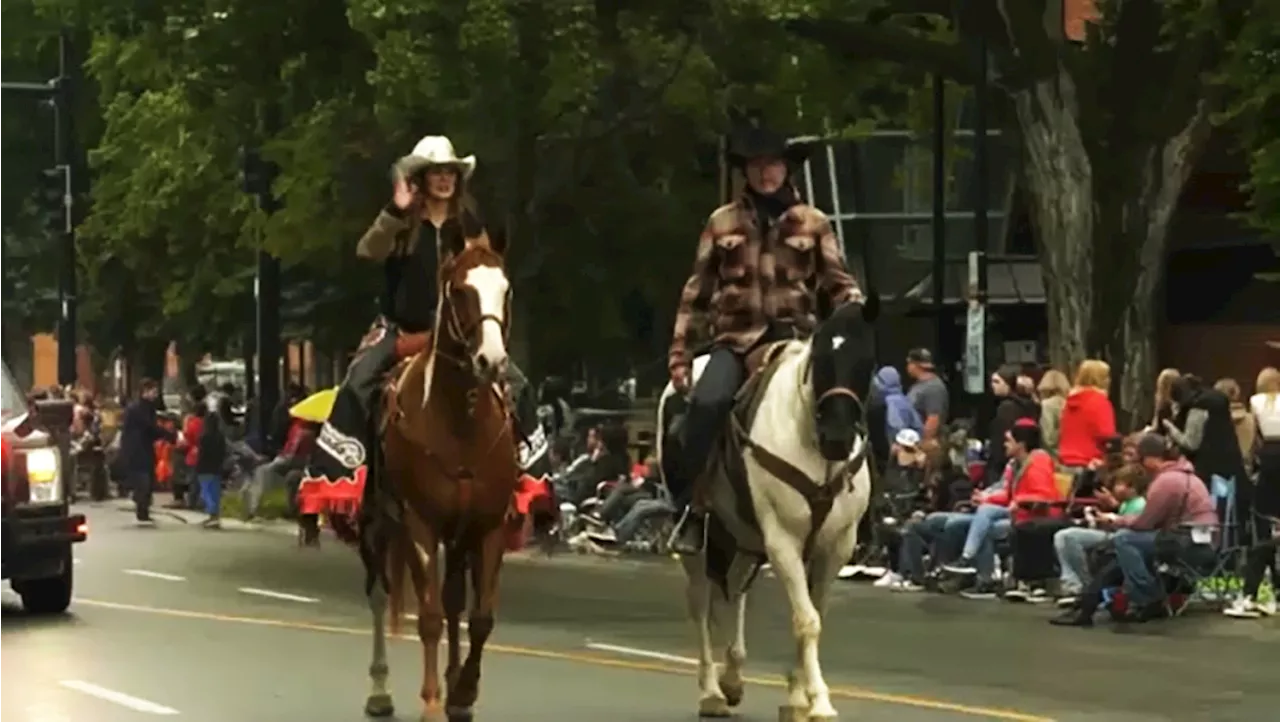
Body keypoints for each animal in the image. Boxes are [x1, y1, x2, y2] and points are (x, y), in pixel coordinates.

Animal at [358, 238, 517, 722]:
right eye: (461, 291)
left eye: (505, 289)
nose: (492, 360)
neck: (460, 418)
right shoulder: (420, 524)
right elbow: (427, 618)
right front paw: (431, 700)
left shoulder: (488, 526)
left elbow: (478, 618)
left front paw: (463, 692)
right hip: (378, 524)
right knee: (379, 593)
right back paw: (380, 690)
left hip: (457, 535)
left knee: (451, 602)